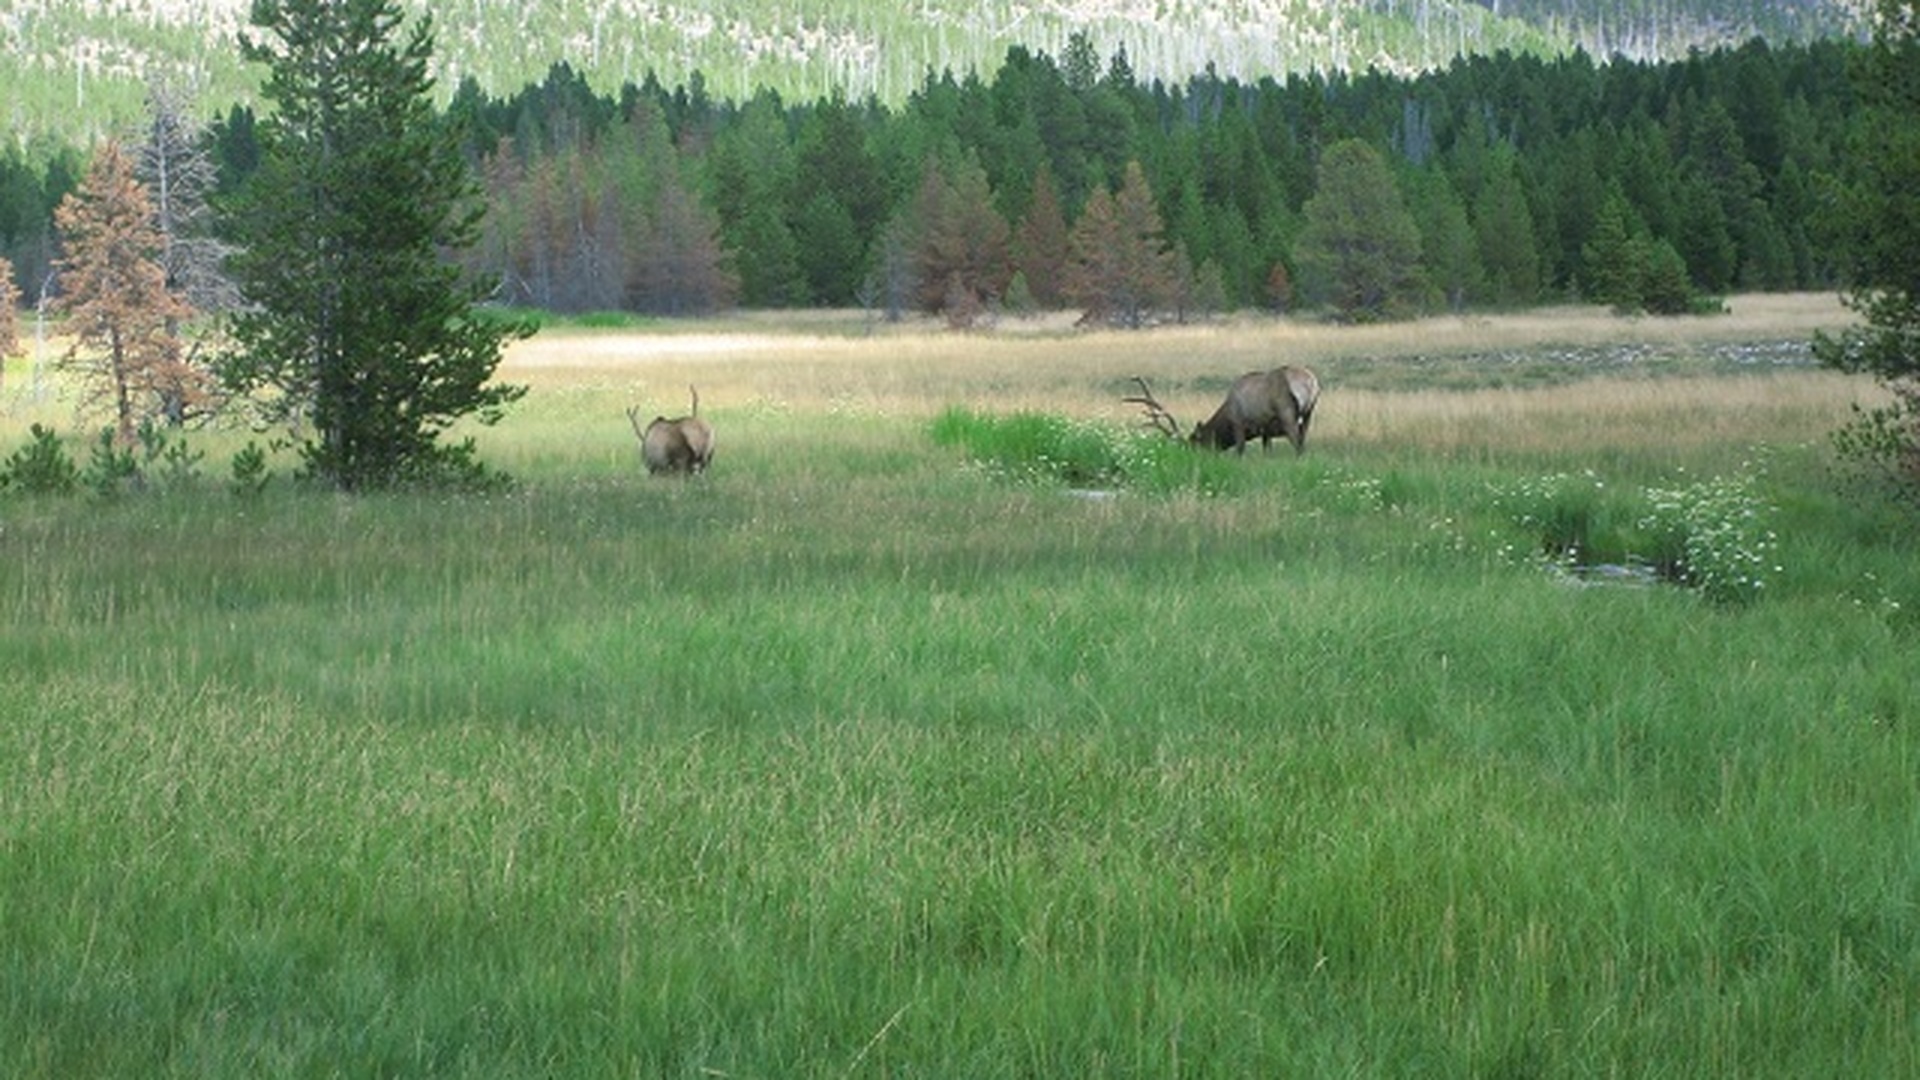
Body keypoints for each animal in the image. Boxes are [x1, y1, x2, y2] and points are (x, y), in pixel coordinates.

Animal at [1121, 365, 1320, 453]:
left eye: (1195, 443)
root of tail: (1310, 382)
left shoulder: (1239, 423)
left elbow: (1240, 450)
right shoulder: (1265, 431)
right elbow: (1267, 451)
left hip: (1287, 414)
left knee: (1297, 444)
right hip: (1308, 414)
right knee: (1303, 442)